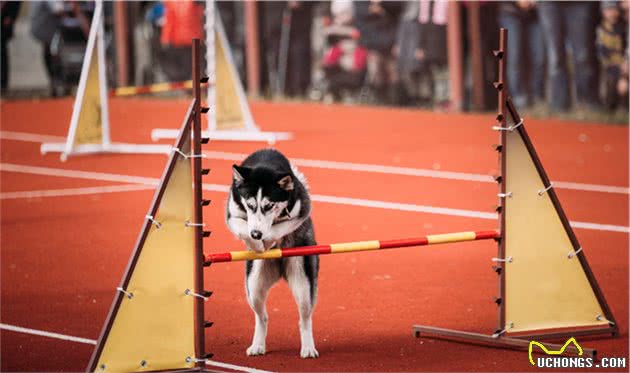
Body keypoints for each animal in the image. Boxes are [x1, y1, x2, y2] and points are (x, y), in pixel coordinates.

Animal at [227, 147, 320, 358]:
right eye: (250, 205)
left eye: (269, 205)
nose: (256, 233)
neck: (265, 161)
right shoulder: (232, 214)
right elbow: (241, 226)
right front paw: (255, 242)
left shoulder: (302, 207)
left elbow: (282, 227)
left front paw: (267, 239)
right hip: (253, 286)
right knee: (262, 317)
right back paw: (257, 345)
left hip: (303, 282)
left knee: (305, 318)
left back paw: (308, 347)